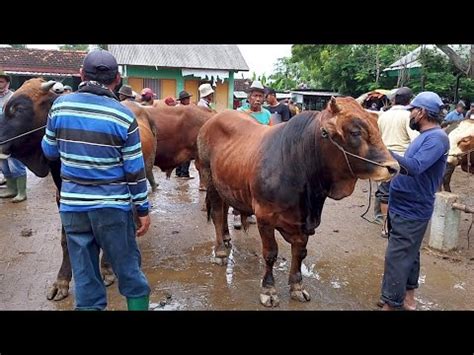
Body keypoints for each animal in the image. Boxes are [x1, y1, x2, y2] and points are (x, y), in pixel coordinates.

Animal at [197, 98, 400, 308]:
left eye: (377, 126)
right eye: (355, 132)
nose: (394, 168)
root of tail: (213, 119)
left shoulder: (303, 222)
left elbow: (300, 253)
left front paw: (297, 286)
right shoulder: (265, 216)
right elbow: (270, 253)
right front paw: (268, 290)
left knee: (224, 210)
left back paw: (226, 238)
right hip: (209, 178)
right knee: (217, 215)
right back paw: (220, 252)